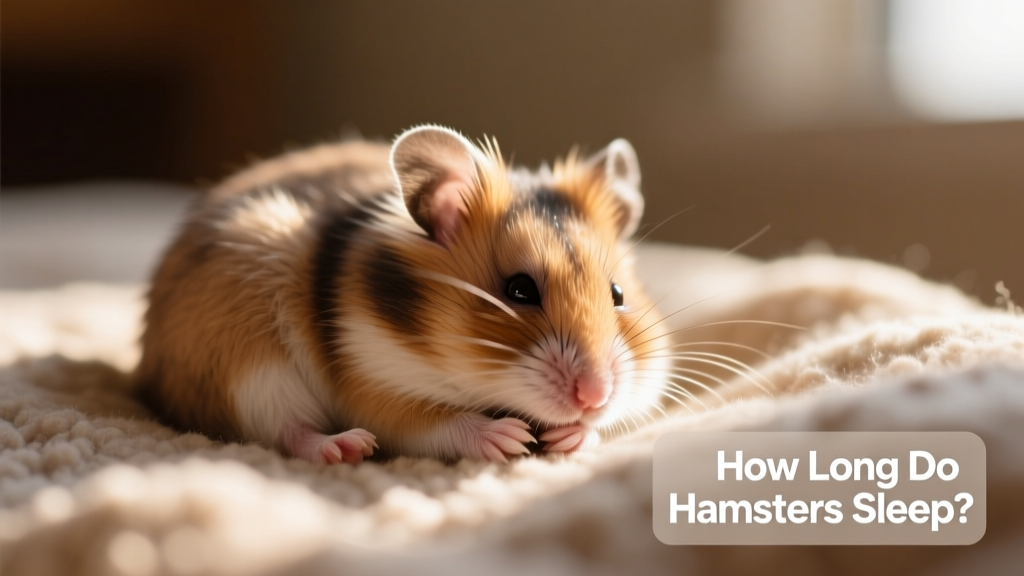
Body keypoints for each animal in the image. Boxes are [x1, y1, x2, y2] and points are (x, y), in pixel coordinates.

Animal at [137, 125, 672, 464]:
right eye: (518, 289)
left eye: (618, 293)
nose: (595, 395)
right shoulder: (371, 376)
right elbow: (430, 423)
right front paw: (511, 439)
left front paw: (568, 437)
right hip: (246, 360)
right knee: (283, 429)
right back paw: (347, 449)